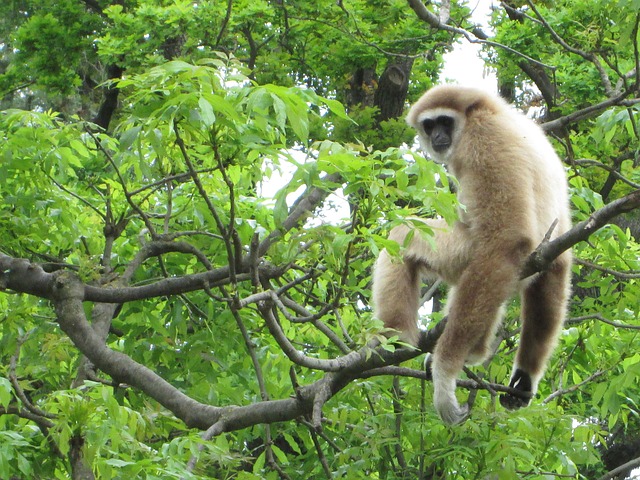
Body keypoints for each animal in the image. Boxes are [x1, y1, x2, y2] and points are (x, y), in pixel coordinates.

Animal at [372, 85, 572, 425]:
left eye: (444, 122)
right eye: (430, 125)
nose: (438, 136)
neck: (490, 111)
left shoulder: (484, 139)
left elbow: (506, 242)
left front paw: (445, 375)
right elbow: (557, 265)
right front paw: (524, 377)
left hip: (462, 251)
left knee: (403, 235)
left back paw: (396, 334)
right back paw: (477, 351)